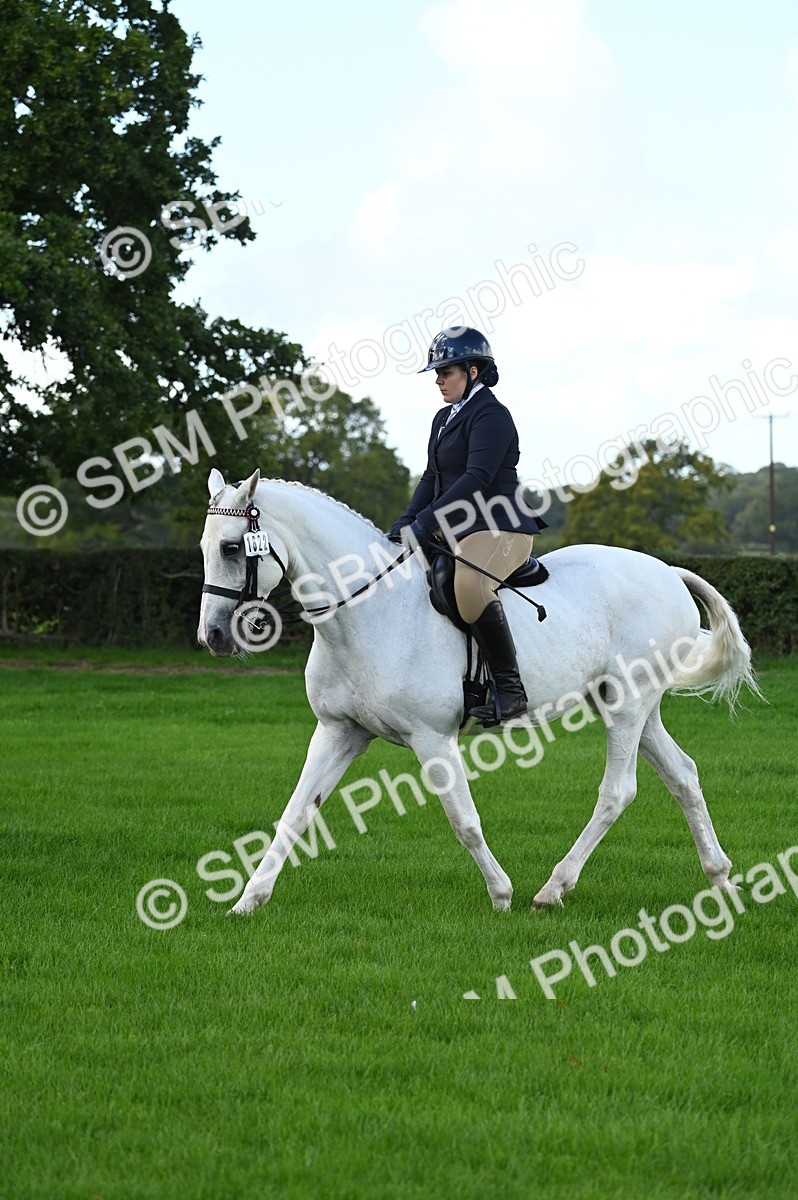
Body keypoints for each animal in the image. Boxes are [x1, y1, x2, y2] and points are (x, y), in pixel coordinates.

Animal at [197, 468, 760, 916]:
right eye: (205, 549)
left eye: (231, 548)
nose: (214, 637)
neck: (367, 613)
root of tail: (667, 571)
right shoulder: (339, 732)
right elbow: (295, 813)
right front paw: (248, 900)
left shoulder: (432, 738)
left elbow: (463, 820)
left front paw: (501, 894)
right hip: (632, 705)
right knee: (683, 774)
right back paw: (719, 877)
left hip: (628, 701)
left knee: (617, 791)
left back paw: (552, 889)